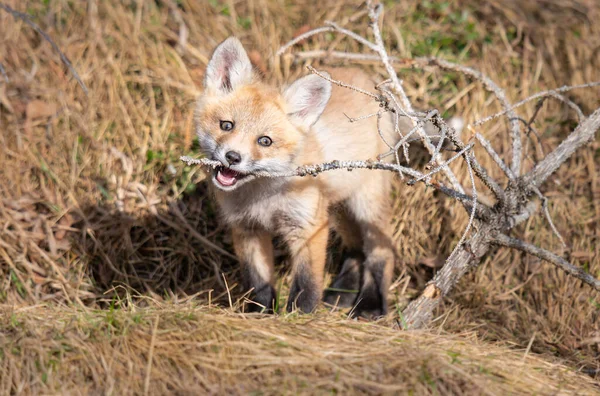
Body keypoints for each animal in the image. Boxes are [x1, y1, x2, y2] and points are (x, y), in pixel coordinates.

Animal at [195, 37, 410, 318]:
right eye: (226, 125)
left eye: (265, 141)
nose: (232, 157)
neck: (263, 197)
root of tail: (363, 75)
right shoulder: (247, 227)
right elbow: (258, 282)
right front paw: (259, 313)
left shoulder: (308, 226)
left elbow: (306, 283)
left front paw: (300, 315)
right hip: (336, 209)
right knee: (355, 249)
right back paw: (343, 292)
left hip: (364, 203)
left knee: (381, 250)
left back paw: (371, 304)